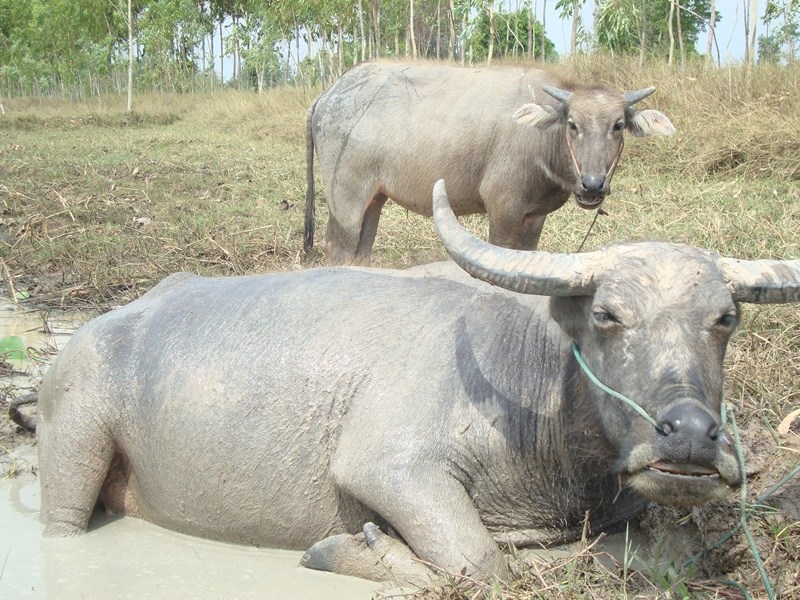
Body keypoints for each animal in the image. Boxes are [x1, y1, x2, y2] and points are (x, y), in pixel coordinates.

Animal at [39, 180, 800, 584]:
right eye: (608, 315)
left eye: (725, 318)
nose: (691, 436)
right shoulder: (388, 466)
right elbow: (476, 560)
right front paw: (355, 550)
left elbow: (664, 553)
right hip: (74, 437)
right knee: (62, 522)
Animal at [304, 61, 676, 264]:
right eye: (572, 124)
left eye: (618, 125)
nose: (592, 185)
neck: (540, 139)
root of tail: (329, 93)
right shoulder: (503, 208)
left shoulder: (534, 217)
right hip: (345, 198)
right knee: (338, 248)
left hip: (374, 197)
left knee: (361, 249)